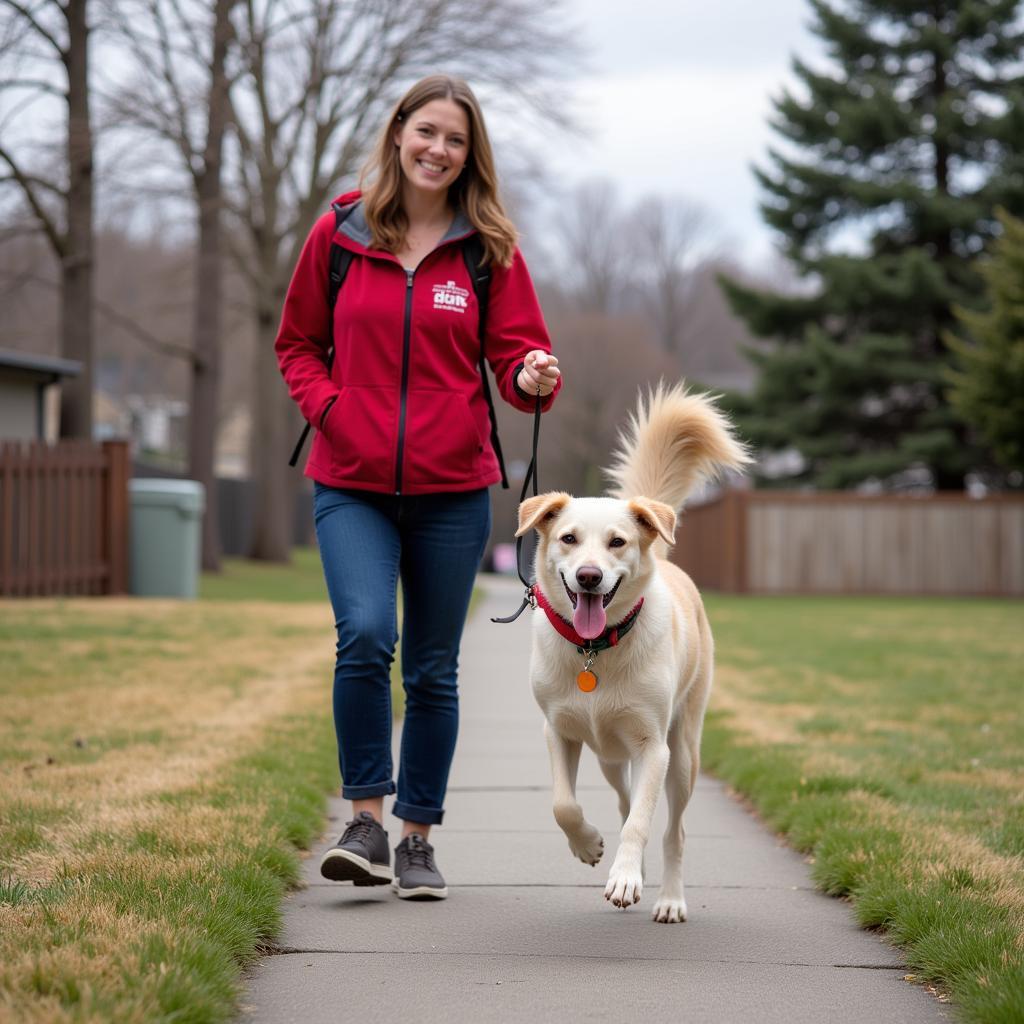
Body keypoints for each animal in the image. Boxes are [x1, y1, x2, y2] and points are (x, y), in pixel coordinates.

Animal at [516, 382, 749, 921]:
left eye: (617, 542)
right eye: (569, 538)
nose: (589, 576)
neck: (594, 651)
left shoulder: (652, 746)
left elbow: (644, 822)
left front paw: (624, 877)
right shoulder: (559, 732)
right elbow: (564, 805)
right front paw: (589, 846)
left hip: (682, 755)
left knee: (673, 829)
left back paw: (668, 898)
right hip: (608, 755)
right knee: (624, 801)